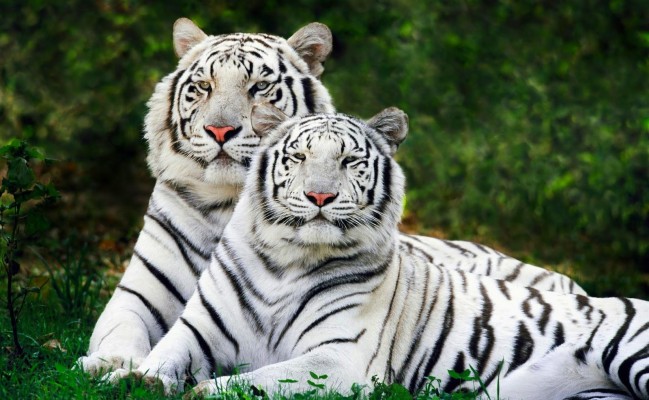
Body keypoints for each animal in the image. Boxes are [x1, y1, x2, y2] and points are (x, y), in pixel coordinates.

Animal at [80, 18, 584, 376]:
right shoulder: (137, 295)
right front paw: (108, 364)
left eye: (259, 87)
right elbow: (120, 330)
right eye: (203, 86)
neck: (228, 203)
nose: (221, 130)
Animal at [108, 106, 645, 400]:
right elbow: (161, 355)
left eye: (349, 160)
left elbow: (262, 378)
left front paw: (204, 390)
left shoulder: (340, 358)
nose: (320, 197)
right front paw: (129, 379)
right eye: (298, 157)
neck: (286, 260)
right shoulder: (197, 330)